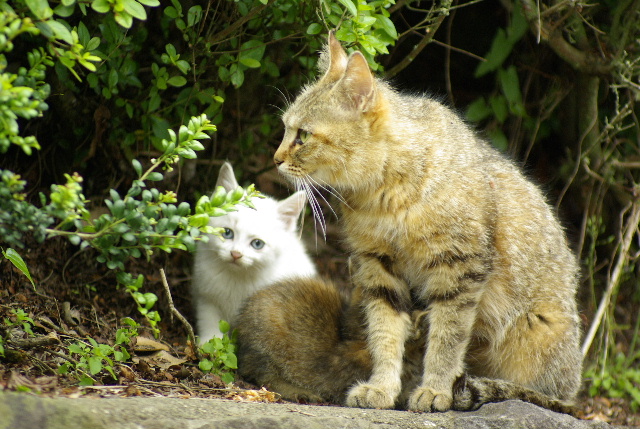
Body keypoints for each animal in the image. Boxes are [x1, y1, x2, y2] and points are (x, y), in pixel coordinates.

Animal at [192, 162, 318, 342]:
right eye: (227, 233)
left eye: (257, 244)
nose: (236, 254)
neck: (238, 277)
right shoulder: (206, 297)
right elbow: (209, 321)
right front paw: (209, 341)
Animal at [236, 34, 584, 412]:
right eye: (286, 128)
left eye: (302, 135)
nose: (275, 159)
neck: (383, 195)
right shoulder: (378, 267)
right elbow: (384, 333)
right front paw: (382, 387)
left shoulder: (460, 268)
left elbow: (447, 338)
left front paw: (435, 389)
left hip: (539, 336)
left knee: (545, 396)